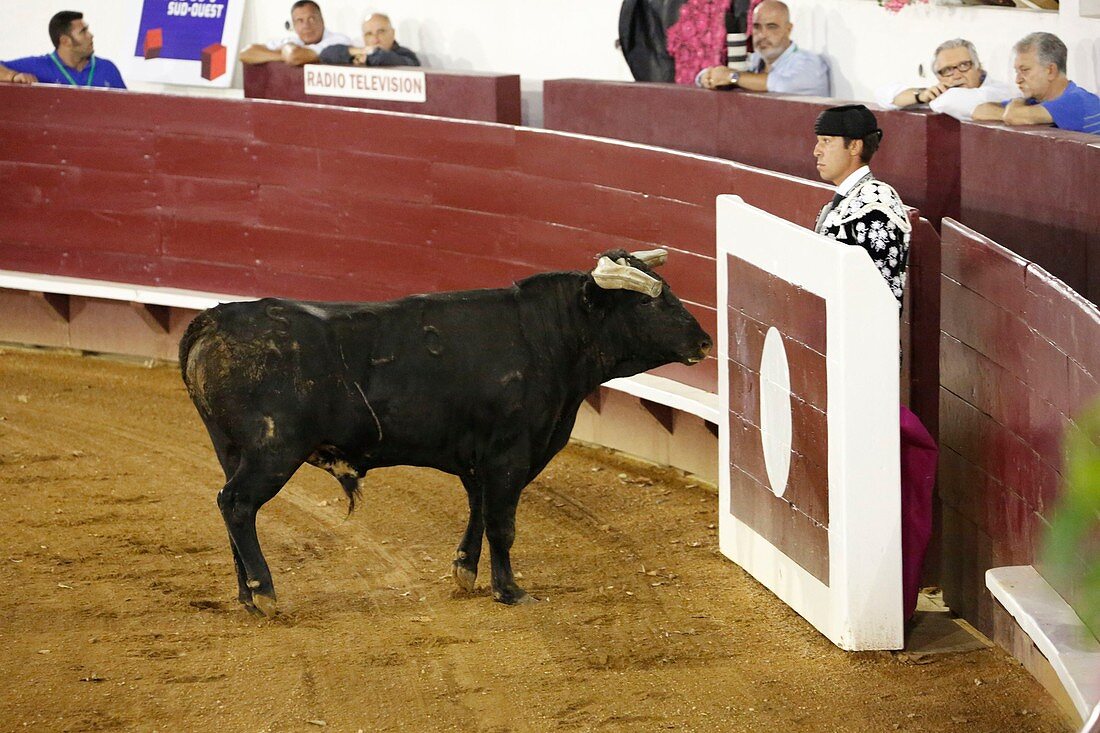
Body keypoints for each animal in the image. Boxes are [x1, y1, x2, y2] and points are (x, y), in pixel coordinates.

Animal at [178, 248, 712, 611]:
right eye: (648, 304)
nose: (705, 341)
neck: (546, 337)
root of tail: (213, 320)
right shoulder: (509, 454)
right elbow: (503, 523)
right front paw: (509, 590)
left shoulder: (479, 461)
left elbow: (478, 511)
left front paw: (465, 572)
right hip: (273, 449)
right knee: (237, 504)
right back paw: (265, 591)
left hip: (230, 448)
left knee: (229, 507)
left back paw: (246, 595)